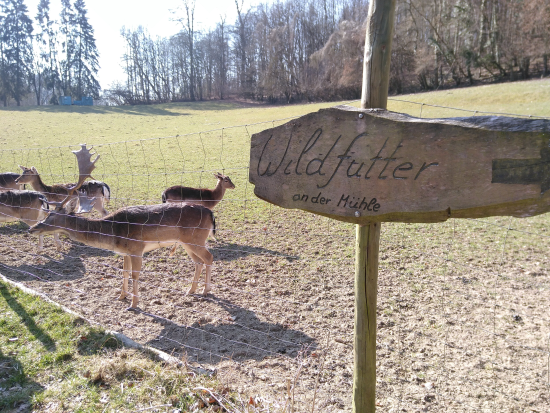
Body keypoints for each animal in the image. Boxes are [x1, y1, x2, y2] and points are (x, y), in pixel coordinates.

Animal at [29, 143, 216, 308]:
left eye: (52, 215)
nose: (32, 228)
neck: (114, 233)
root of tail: (210, 213)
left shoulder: (136, 248)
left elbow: (135, 274)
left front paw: (133, 304)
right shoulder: (125, 252)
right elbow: (124, 272)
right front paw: (121, 296)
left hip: (196, 239)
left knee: (208, 258)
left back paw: (205, 290)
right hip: (187, 242)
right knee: (198, 262)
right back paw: (190, 290)